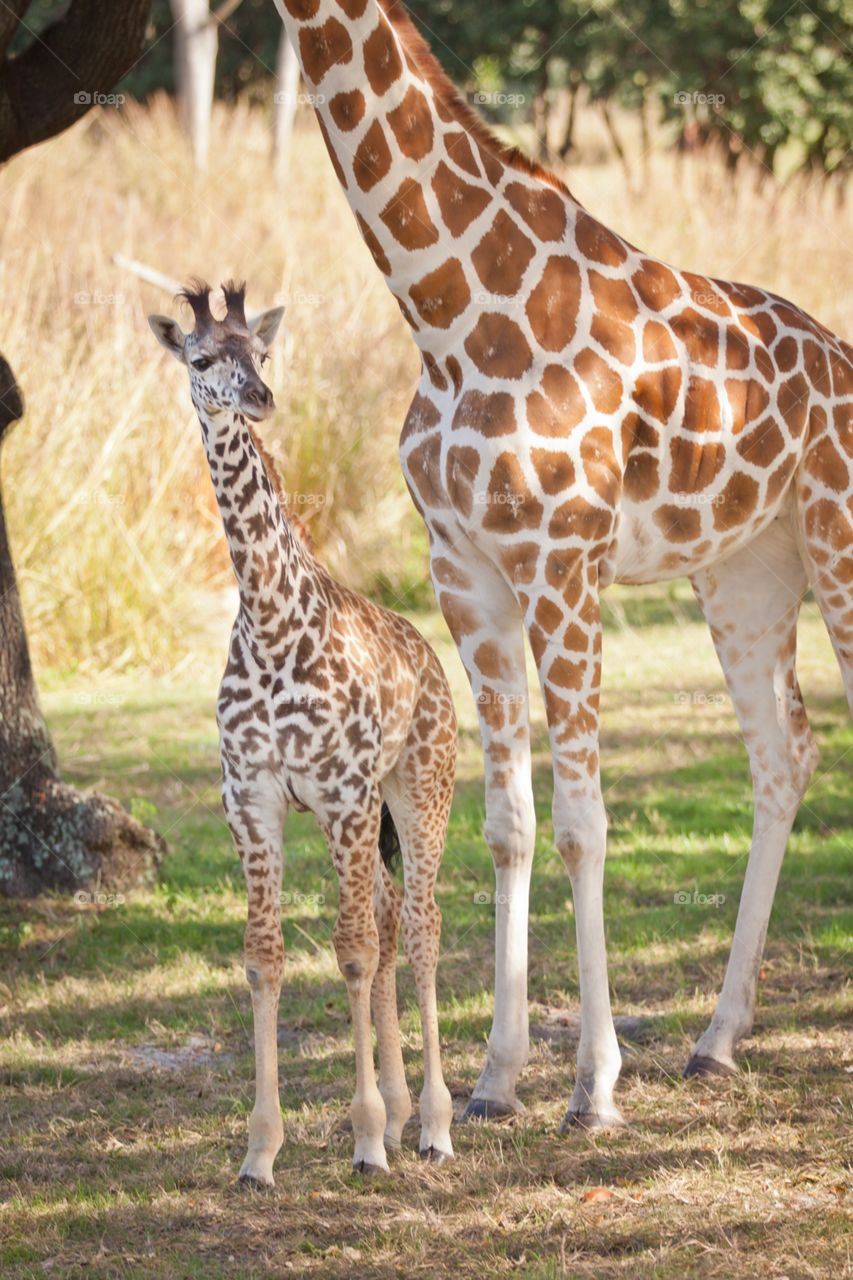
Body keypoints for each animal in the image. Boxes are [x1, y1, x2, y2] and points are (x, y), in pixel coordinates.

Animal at [149, 281, 457, 1183]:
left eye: (262, 351)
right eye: (200, 358)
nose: (258, 398)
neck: (271, 620)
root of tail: (429, 657)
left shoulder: (344, 792)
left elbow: (348, 952)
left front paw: (365, 1139)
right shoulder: (251, 798)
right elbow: (263, 959)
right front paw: (260, 1152)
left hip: (417, 788)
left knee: (417, 928)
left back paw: (431, 1124)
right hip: (353, 815)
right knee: (389, 916)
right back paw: (402, 1110)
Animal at [271, 0, 853, 1126]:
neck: (449, 306)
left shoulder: (563, 561)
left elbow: (584, 824)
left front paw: (594, 1084)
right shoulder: (466, 573)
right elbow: (509, 823)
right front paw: (495, 1080)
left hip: (839, 541)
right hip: (748, 572)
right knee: (783, 751)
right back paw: (717, 1037)